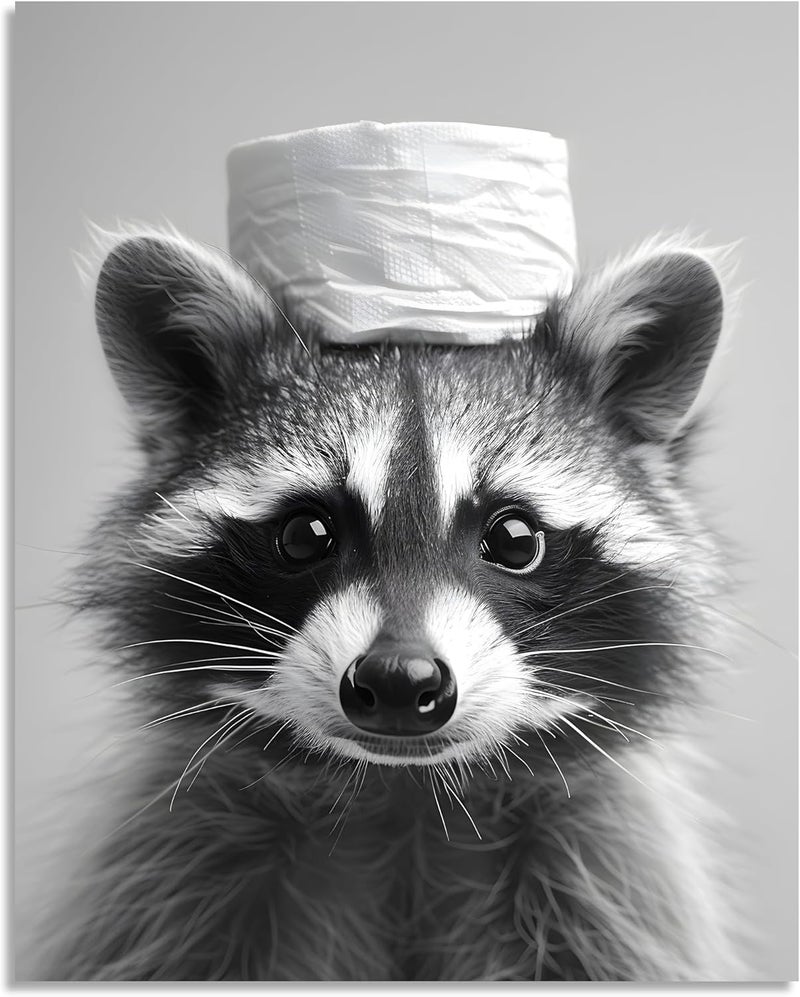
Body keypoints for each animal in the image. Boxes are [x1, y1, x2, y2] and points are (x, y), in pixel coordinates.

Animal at [41, 227, 742, 981]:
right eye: (305, 534)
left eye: (515, 539)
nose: (401, 679)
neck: (403, 793)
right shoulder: (176, 872)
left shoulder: (605, 878)